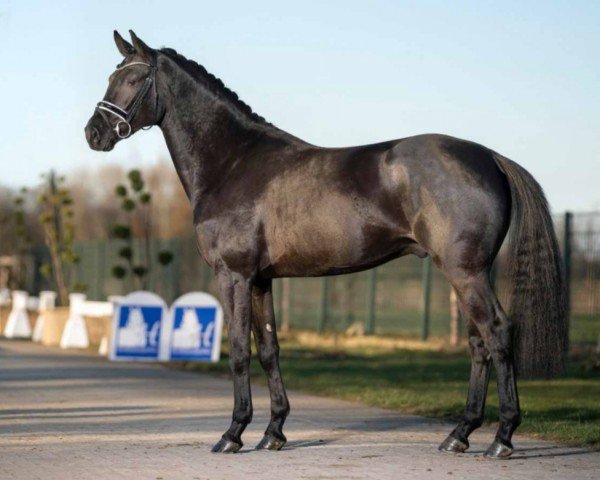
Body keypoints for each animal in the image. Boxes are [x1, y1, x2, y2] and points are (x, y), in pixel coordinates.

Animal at [84, 31, 568, 460]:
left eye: (133, 79)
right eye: (111, 76)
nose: (94, 133)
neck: (233, 162)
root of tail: (490, 158)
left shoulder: (233, 276)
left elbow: (239, 350)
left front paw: (233, 434)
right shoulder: (261, 280)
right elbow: (269, 349)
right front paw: (274, 432)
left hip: (465, 272)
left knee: (498, 333)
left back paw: (502, 439)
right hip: (464, 273)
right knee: (477, 342)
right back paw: (459, 434)